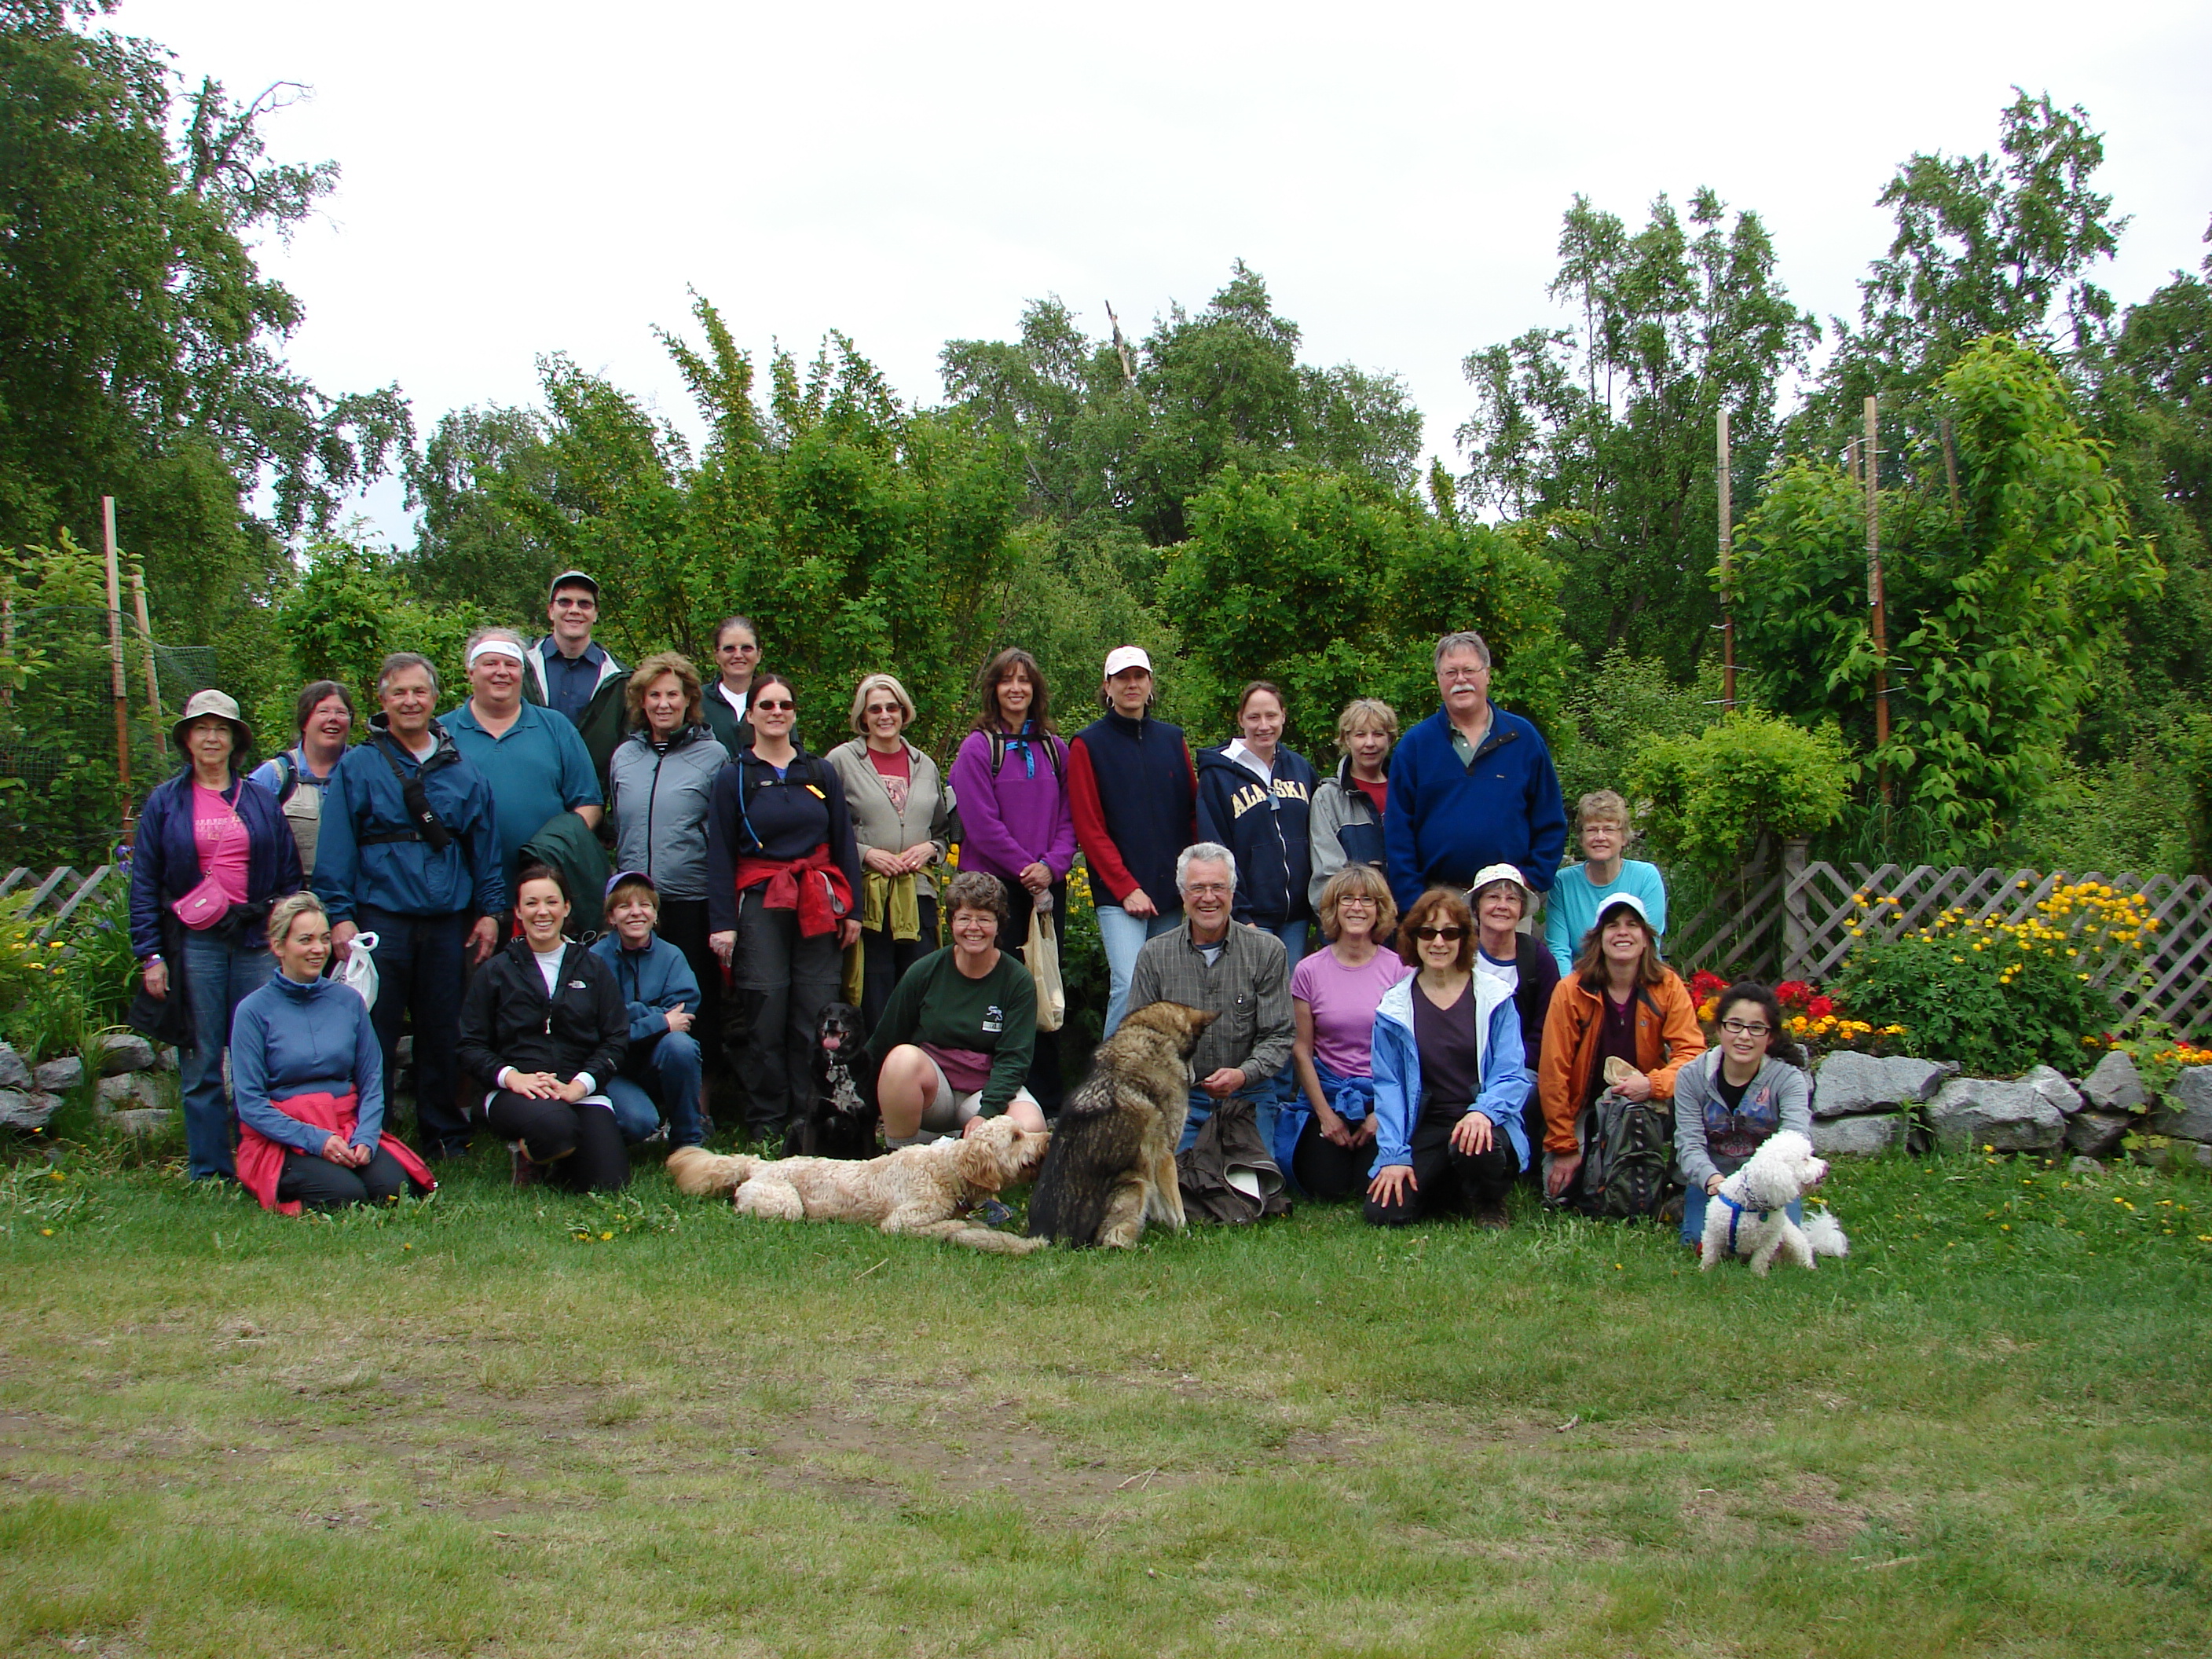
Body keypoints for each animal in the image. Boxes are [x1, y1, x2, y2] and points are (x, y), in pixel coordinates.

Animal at [666, 1116, 1051, 1255]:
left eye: (1022, 1130)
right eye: (1015, 1137)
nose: (1047, 1138)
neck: (946, 1170)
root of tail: (762, 1163)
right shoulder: (901, 1223)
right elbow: (954, 1230)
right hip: (785, 1205)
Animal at [792, 1001, 876, 1160]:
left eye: (846, 1013)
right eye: (826, 1012)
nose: (832, 1021)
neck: (838, 1065)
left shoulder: (866, 1121)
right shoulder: (813, 1120)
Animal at [1027, 1000, 1217, 1248]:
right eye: (1192, 1051)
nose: (1195, 1079)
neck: (1150, 1033)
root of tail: (1046, 1237)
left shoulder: (1151, 1161)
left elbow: (1161, 1205)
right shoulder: (1165, 1156)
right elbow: (1177, 1210)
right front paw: (1186, 1236)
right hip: (1135, 1184)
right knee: (1110, 1242)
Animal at [1699, 1130, 1850, 1275]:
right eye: (1805, 1159)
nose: (1827, 1167)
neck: (1753, 1204)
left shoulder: (1770, 1240)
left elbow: (1760, 1259)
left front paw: (1758, 1275)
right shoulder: (1713, 1234)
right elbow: (1710, 1255)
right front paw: (1705, 1271)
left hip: (1794, 1240)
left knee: (1804, 1256)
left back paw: (1809, 1269)